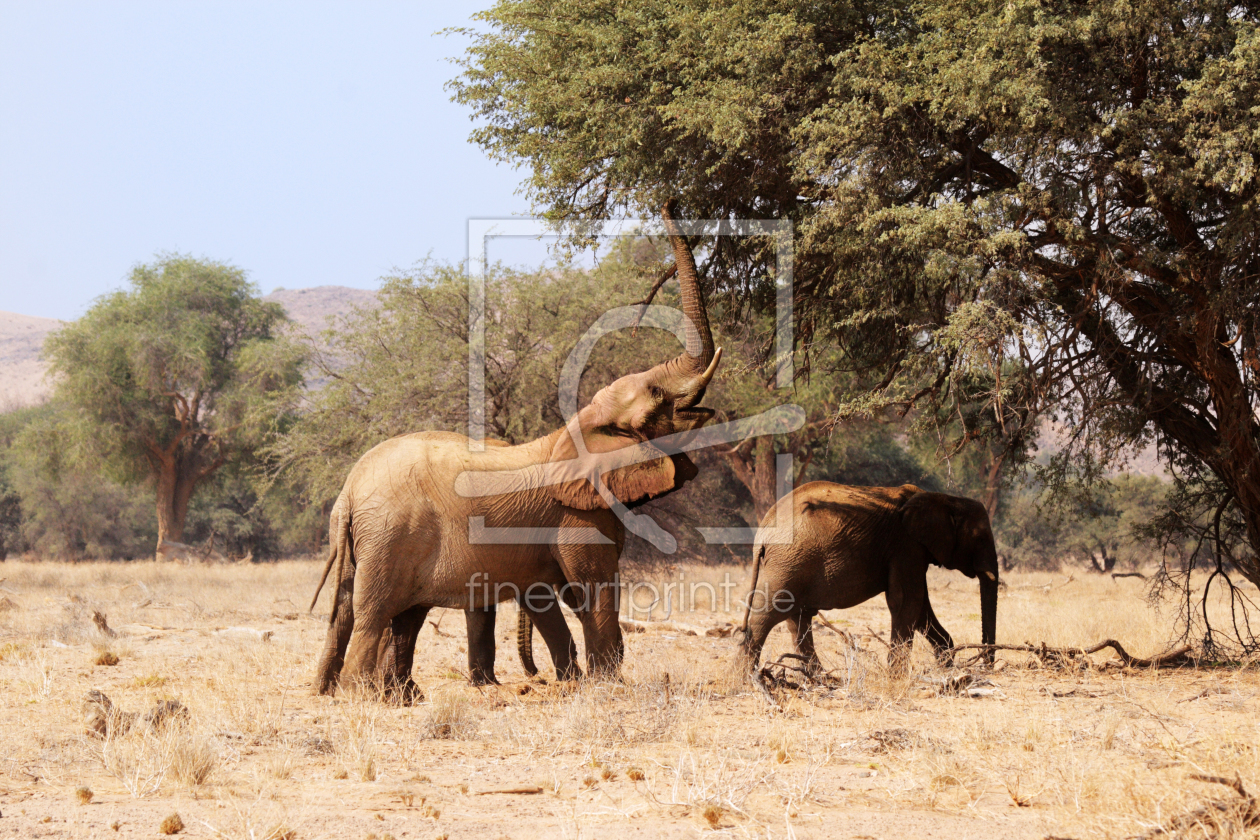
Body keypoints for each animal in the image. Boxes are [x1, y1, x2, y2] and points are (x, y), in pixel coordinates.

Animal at [312, 201, 720, 695]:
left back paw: (341, 694)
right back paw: (366, 696)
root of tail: (349, 492)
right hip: (390, 535)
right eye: (656, 397)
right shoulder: (576, 518)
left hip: (363, 538)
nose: (668, 203)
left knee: (346, 613)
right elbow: (593, 591)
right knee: (373, 613)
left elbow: (550, 601)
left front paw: (575, 684)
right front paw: (608, 686)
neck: (574, 430)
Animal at [735, 483, 992, 675]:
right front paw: (897, 677)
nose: (987, 663)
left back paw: (820, 677)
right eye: (980, 539)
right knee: (768, 616)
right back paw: (743, 678)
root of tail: (763, 531)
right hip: (789, 562)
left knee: (797, 619)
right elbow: (907, 600)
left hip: (790, 564)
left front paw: (945, 666)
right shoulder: (906, 545)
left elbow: (920, 608)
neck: (944, 499)